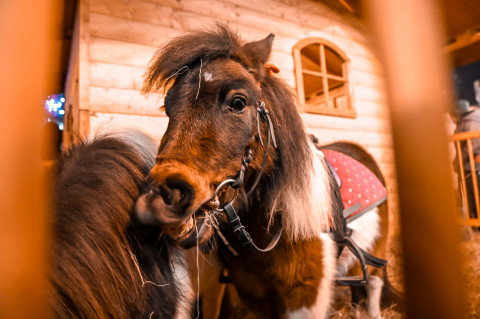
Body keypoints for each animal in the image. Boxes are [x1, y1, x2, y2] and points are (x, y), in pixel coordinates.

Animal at [136, 25, 398, 319]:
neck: (274, 225)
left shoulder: (305, 299)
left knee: (373, 285)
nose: (163, 197)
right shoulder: (256, 296)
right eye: (167, 106)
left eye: (238, 102)